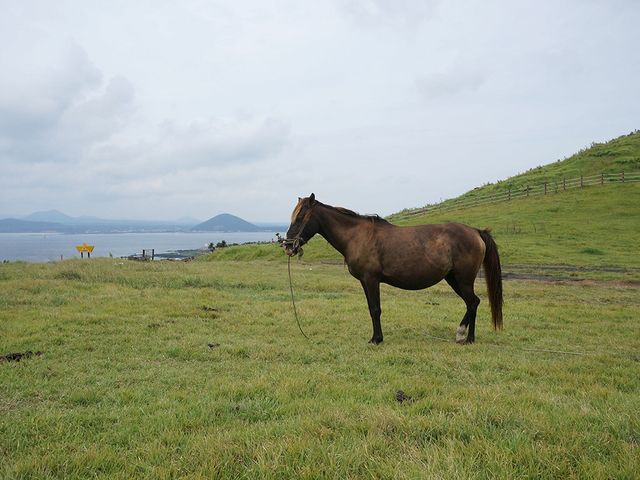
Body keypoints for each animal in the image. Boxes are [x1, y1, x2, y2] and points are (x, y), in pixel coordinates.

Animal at [282, 194, 502, 344]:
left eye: (300, 218)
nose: (288, 246)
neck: (357, 236)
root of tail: (475, 231)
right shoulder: (365, 282)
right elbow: (372, 308)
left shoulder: (371, 280)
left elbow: (375, 309)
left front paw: (376, 339)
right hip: (453, 279)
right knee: (472, 303)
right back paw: (462, 334)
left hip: (463, 280)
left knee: (473, 303)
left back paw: (467, 337)